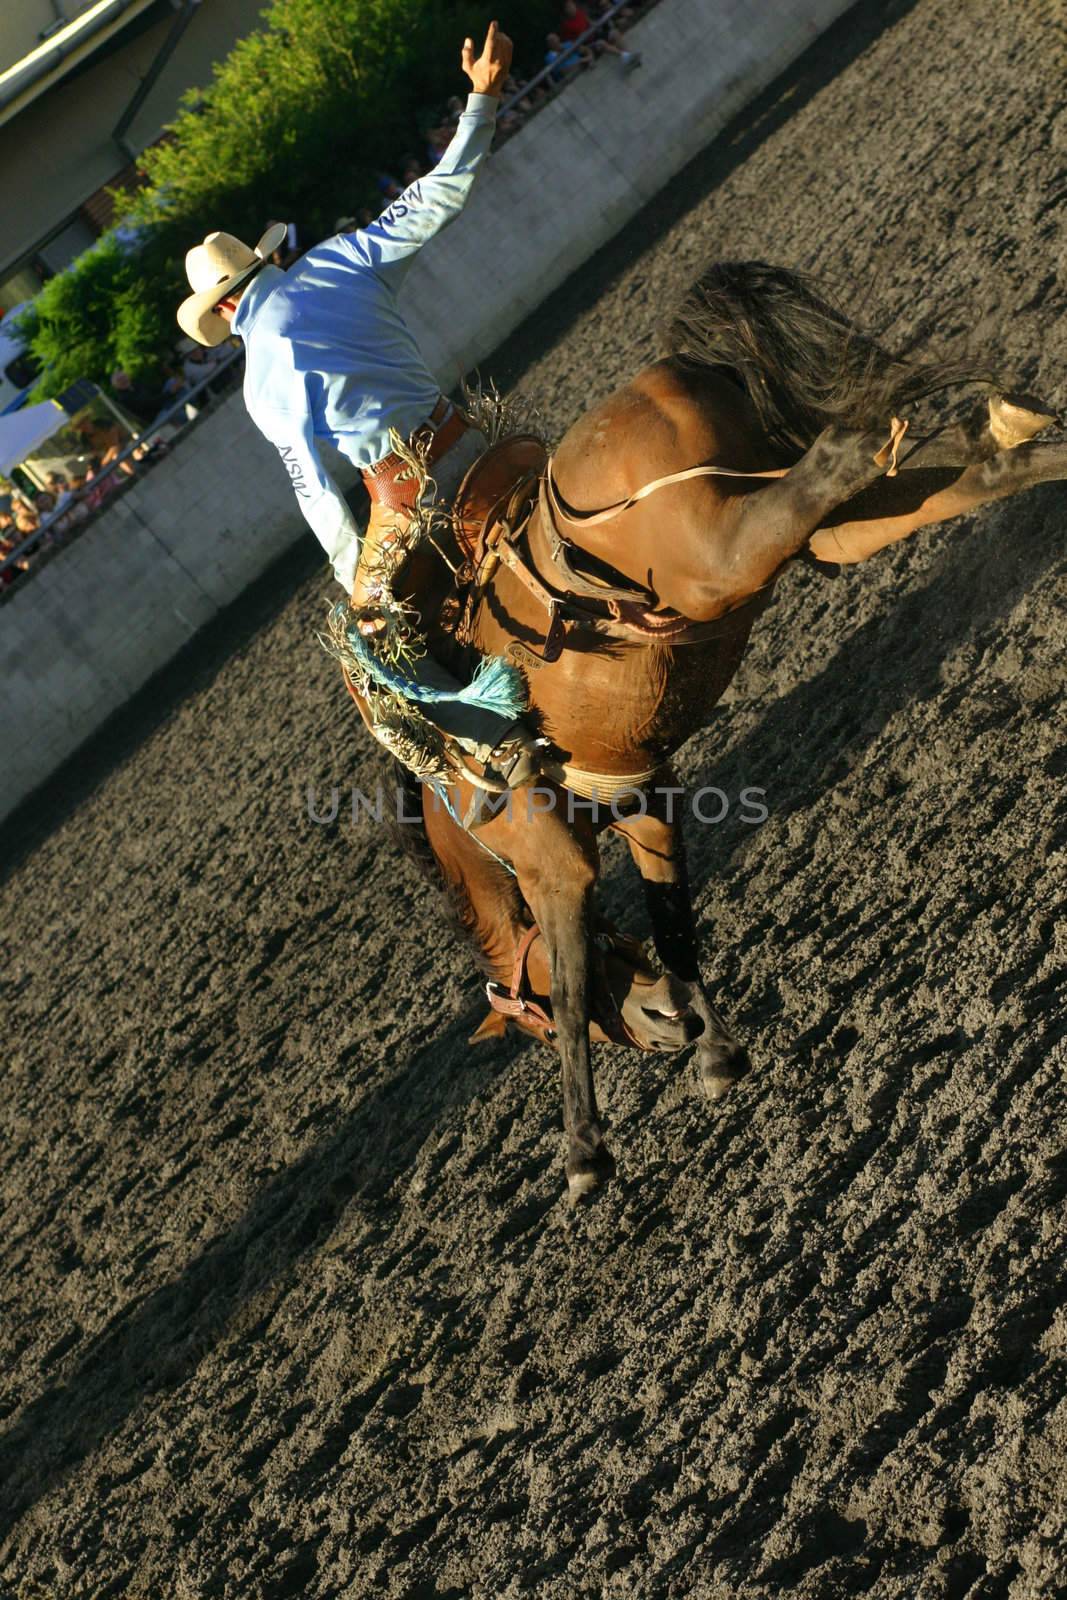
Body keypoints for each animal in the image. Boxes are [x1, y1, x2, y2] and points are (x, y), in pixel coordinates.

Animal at [331, 259, 1062, 1203]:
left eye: (533, 1020)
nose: (658, 1027)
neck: (460, 810)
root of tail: (669, 371)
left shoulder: (552, 865)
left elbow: (576, 975)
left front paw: (583, 1152)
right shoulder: (649, 803)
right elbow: (674, 921)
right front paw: (717, 1054)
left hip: (728, 549)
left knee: (847, 452)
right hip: (826, 532)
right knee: (965, 467)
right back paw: (1014, 427)